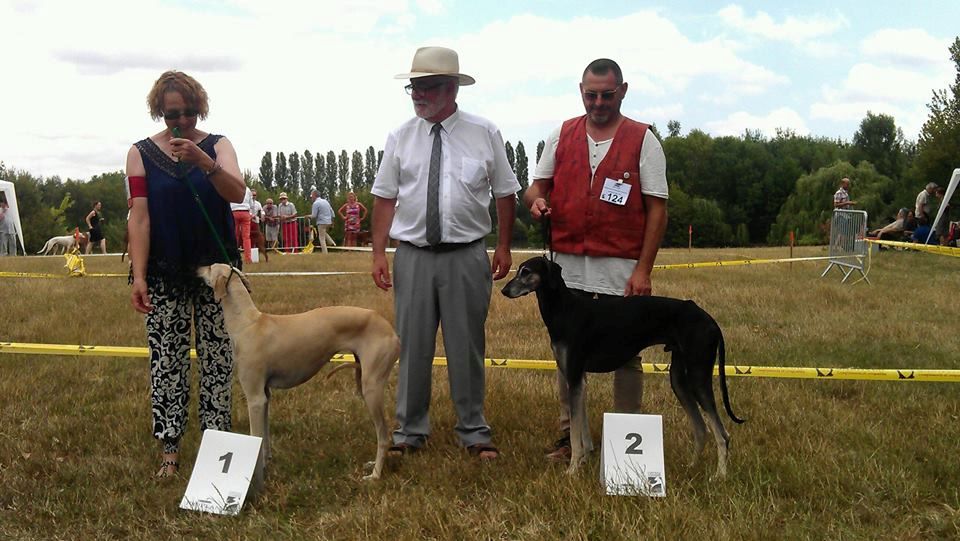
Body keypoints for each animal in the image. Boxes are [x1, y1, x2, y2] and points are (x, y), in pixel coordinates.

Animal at [498, 255, 748, 474]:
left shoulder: (575, 376)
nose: (504, 291)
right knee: (701, 429)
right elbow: (582, 427)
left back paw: (719, 476)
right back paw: (691, 468)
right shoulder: (578, 378)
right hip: (679, 379)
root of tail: (711, 321)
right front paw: (584, 461)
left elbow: (576, 432)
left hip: (698, 375)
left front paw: (572, 470)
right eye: (518, 270)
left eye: (526, 272)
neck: (565, 310)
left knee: (722, 434)